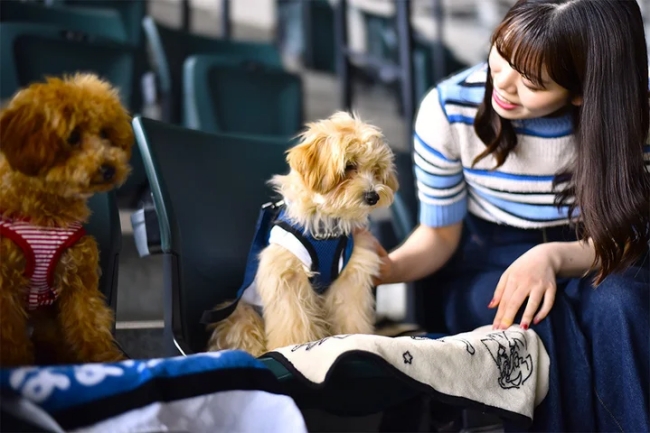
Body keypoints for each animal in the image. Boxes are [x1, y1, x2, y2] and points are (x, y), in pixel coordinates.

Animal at [205, 113, 398, 356]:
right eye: (349, 166)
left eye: (376, 169)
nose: (373, 196)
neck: (326, 227)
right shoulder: (287, 277)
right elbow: (293, 322)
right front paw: (292, 347)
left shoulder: (350, 277)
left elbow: (351, 315)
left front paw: (355, 337)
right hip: (241, 314)